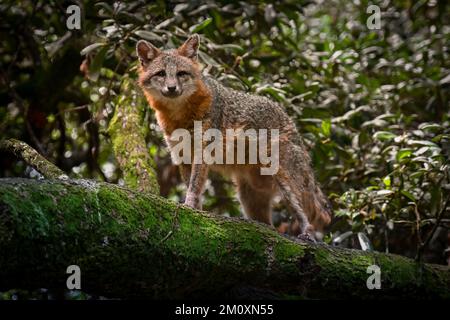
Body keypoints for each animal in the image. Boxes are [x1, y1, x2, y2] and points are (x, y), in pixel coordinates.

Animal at [135, 34, 328, 238]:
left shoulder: (202, 152)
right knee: (269, 225)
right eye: (161, 74)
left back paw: (307, 234)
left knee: (304, 215)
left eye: (181, 73)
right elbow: (192, 188)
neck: (179, 116)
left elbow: (194, 188)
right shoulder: (182, 155)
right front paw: (197, 212)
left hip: (284, 182)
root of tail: (294, 128)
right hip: (249, 199)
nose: (172, 88)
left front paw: (189, 206)